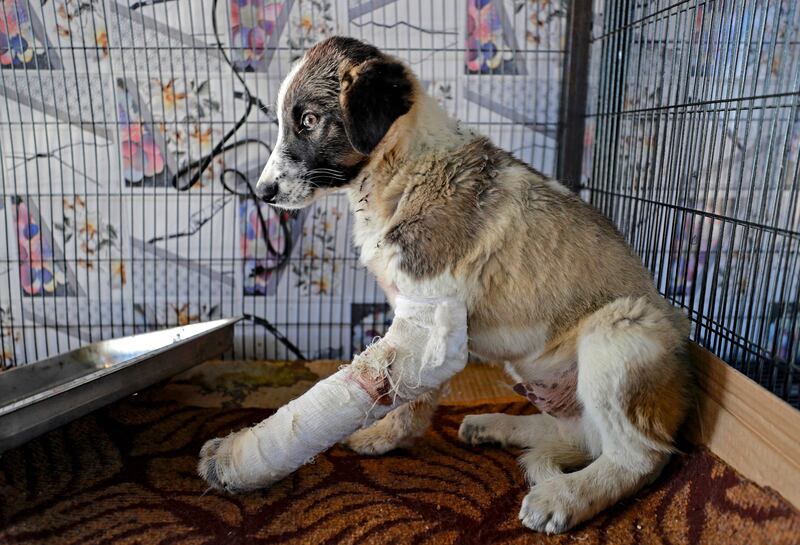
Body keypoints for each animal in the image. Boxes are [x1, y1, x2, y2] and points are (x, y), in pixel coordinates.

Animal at [197, 36, 692, 532]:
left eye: (309, 121)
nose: (262, 193)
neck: (401, 170)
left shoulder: (428, 313)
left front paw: (231, 459)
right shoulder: (426, 321)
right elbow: (410, 399)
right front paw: (385, 437)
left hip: (621, 332)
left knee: (638, 455)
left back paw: (566, 496)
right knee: (582, 436)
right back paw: (495, 426)